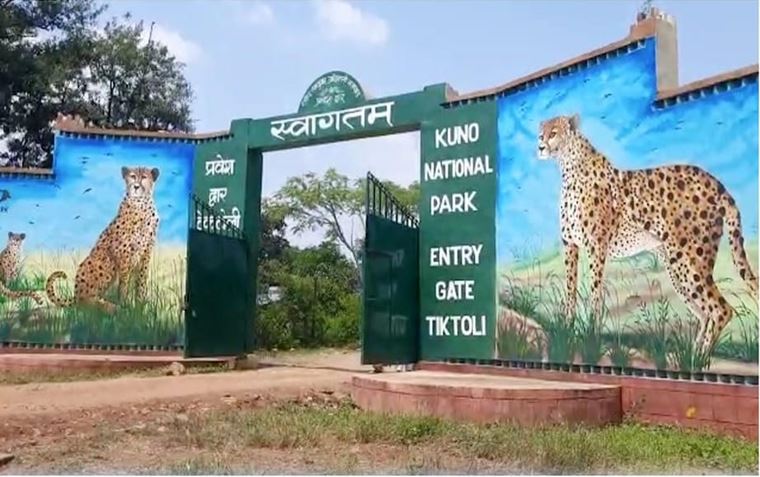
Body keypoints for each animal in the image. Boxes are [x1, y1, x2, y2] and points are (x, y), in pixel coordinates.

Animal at [46, 166, 160, 314]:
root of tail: (75, 295)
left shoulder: (146, 252)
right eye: (132, 176)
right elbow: (124, 282)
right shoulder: (123, 253)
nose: (135, 187)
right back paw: (108, 306)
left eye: (144, 177)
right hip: (105, 260)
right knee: (86, 302)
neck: (141, 205)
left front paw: (140, 307)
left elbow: (141, 281)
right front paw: (125, 305)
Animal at [537, 114, 757, 356]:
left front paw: (590, 335)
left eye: (554, 133)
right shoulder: (570, 244)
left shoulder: (596, 247)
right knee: (704, 312)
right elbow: (570, 289)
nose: (540, 146)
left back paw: (699, 358)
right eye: (541, 133)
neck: (569, 165)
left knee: (721, 309)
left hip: (689, 261)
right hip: (676, 267)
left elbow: (594, 292)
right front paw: (567, 330)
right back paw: (691, 355)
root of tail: (715, 182)